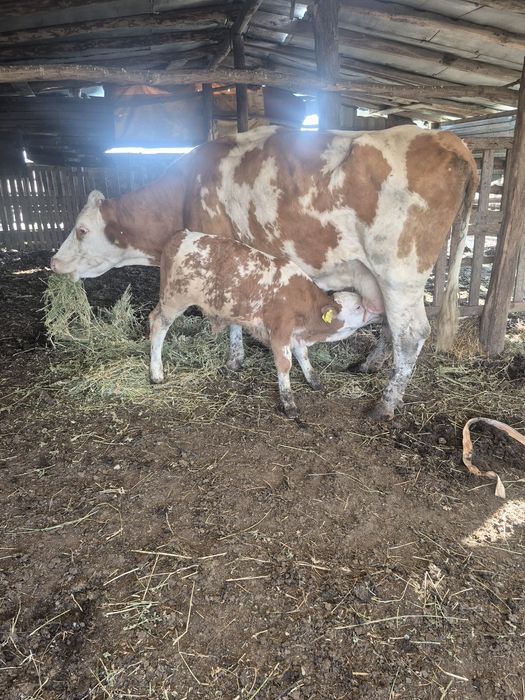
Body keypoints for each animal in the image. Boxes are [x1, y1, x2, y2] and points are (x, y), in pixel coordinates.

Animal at [150, 231, 380, 417]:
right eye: (358, 307)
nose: (378, 311)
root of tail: (180, 236)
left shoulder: (295, 334)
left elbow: (303, 354)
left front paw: (313, 380)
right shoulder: (280, 331)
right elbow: (285, 364)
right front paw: (289, 403)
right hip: (174, 300)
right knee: (158, 326)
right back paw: (156, 373)